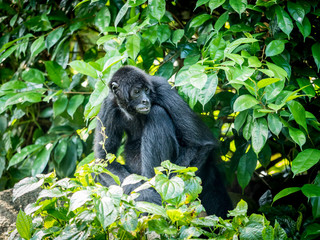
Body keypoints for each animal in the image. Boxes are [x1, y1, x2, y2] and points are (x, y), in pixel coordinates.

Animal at [94, 65, 231, 218]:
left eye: (146, 90)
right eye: (137, 92)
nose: (145, 101)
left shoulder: (163, 88)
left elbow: (201, 144)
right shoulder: (108, 105)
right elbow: (104, 161)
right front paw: (146, 196)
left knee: (157, 113)